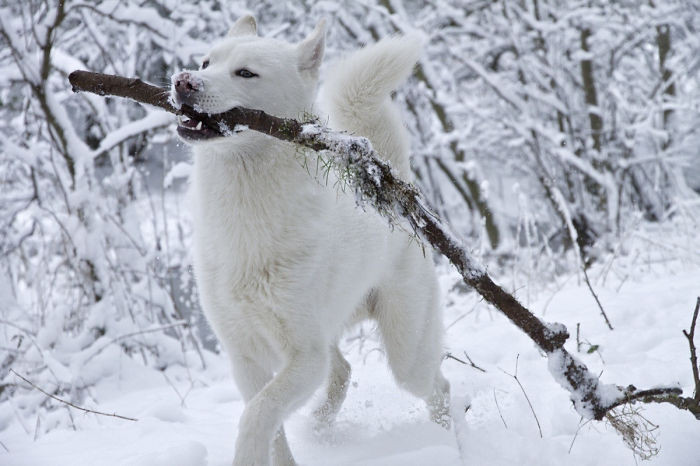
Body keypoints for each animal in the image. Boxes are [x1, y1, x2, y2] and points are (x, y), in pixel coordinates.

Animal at [172, 14, 452, 466]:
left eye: (245, 73)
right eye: (205, 62)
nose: (182, 81)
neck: (246, 214)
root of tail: (394, 185)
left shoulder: (304, 357)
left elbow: (258, 414)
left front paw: (246, 454)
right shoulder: (244, 356)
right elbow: (271, 426)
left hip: (406, 352)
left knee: (438, 389)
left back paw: (451, 442)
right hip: (333, 335)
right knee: (343, 372)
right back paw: (320, 425)